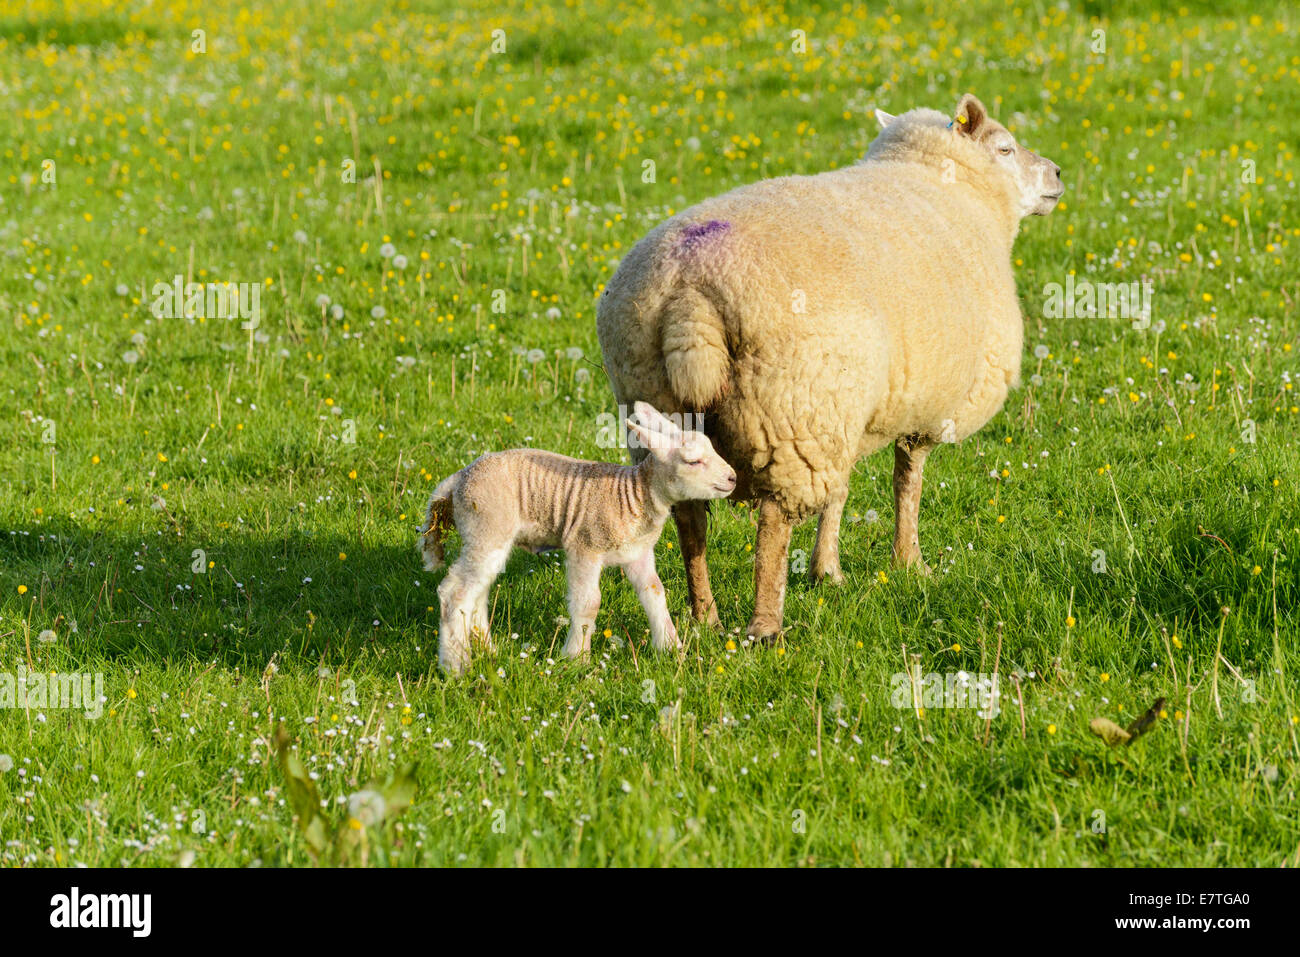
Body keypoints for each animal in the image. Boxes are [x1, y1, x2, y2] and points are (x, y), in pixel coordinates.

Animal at [419, 403, 737, 675]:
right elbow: (588, 602)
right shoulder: (585, 545)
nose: (733, 478)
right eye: (692, 461)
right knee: (454, 593)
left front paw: (671, 647)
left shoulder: (638, 552)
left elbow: (655, 593)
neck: (633, 496)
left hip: (487, 534)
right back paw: (456, 666)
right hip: (487, 526)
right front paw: (576, 657)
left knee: (477, 592)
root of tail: (457, 479)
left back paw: (488, 650)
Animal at [596, 93, 1063, 641]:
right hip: (793, 411)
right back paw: (765, 626)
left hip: (663, 397)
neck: (950, 182)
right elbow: (907, 481)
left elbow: (839, 492)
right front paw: (910, 562)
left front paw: (828, 571)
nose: (1057, 173)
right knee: (773, 525)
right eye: (1006, 148)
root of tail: (691, 292)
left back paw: (705, 616)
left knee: (691, 515)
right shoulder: (917, 409)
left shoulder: (853, 410)